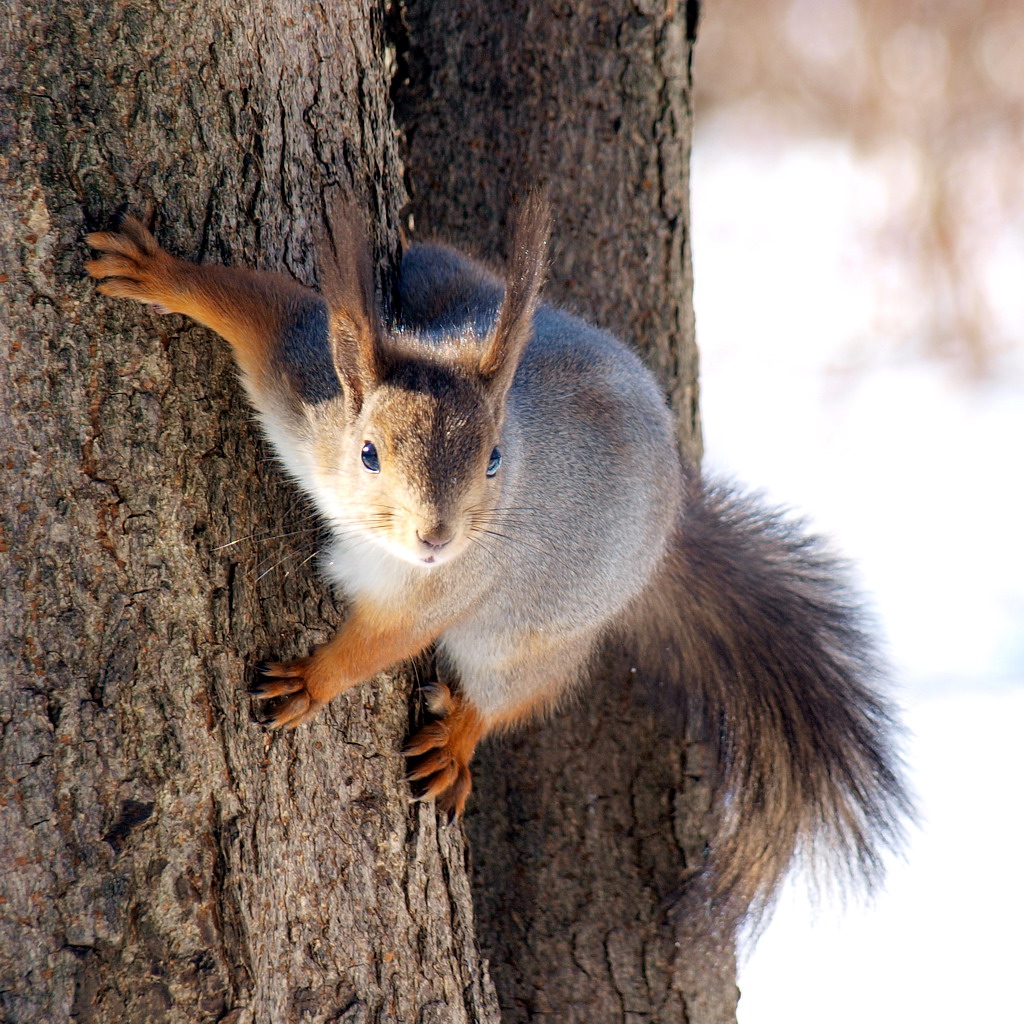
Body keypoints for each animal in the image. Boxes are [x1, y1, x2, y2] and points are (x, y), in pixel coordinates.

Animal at [83, 195, 909, 917]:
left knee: (511, 693)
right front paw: (156, 272)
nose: (435, 537)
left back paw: (458, 737)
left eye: (493, 460)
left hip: (528, 639)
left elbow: (385, 641)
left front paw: (314, 681)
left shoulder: (450, 588)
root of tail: (669, 525)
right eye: (368, 452)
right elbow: (260, 308)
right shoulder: (303, 384)